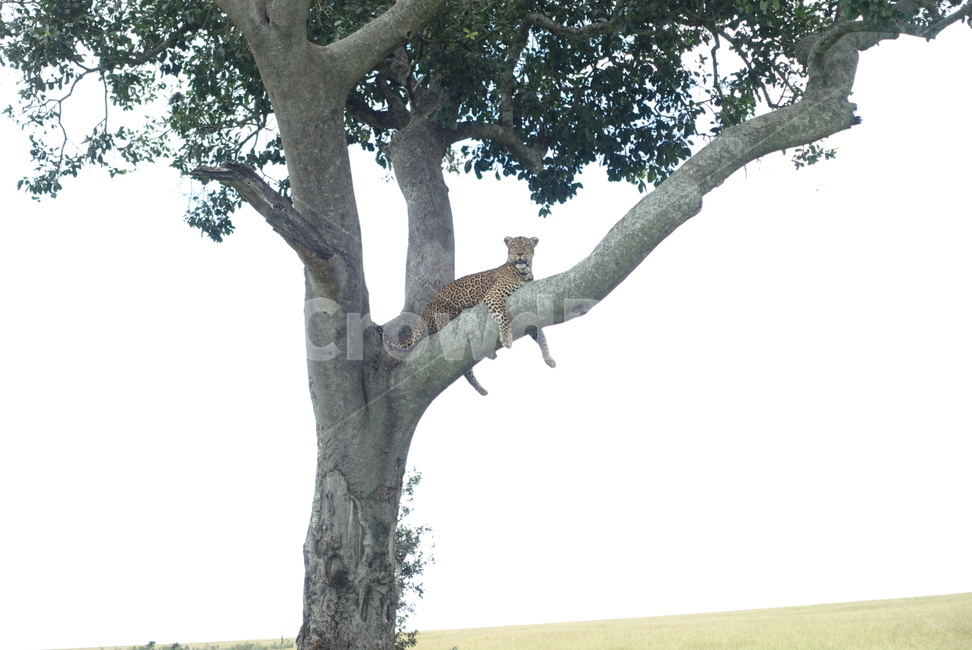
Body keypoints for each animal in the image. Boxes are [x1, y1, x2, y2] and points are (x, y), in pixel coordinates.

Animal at [385, 236, 556, 396]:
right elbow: (503, 316)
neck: (524, 273)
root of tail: (424, 312)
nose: (519, 253)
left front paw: (548, 358)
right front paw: (507, 339)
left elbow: (540, 334)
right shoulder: (493, 297)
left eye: (526, 245)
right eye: (513, 245)